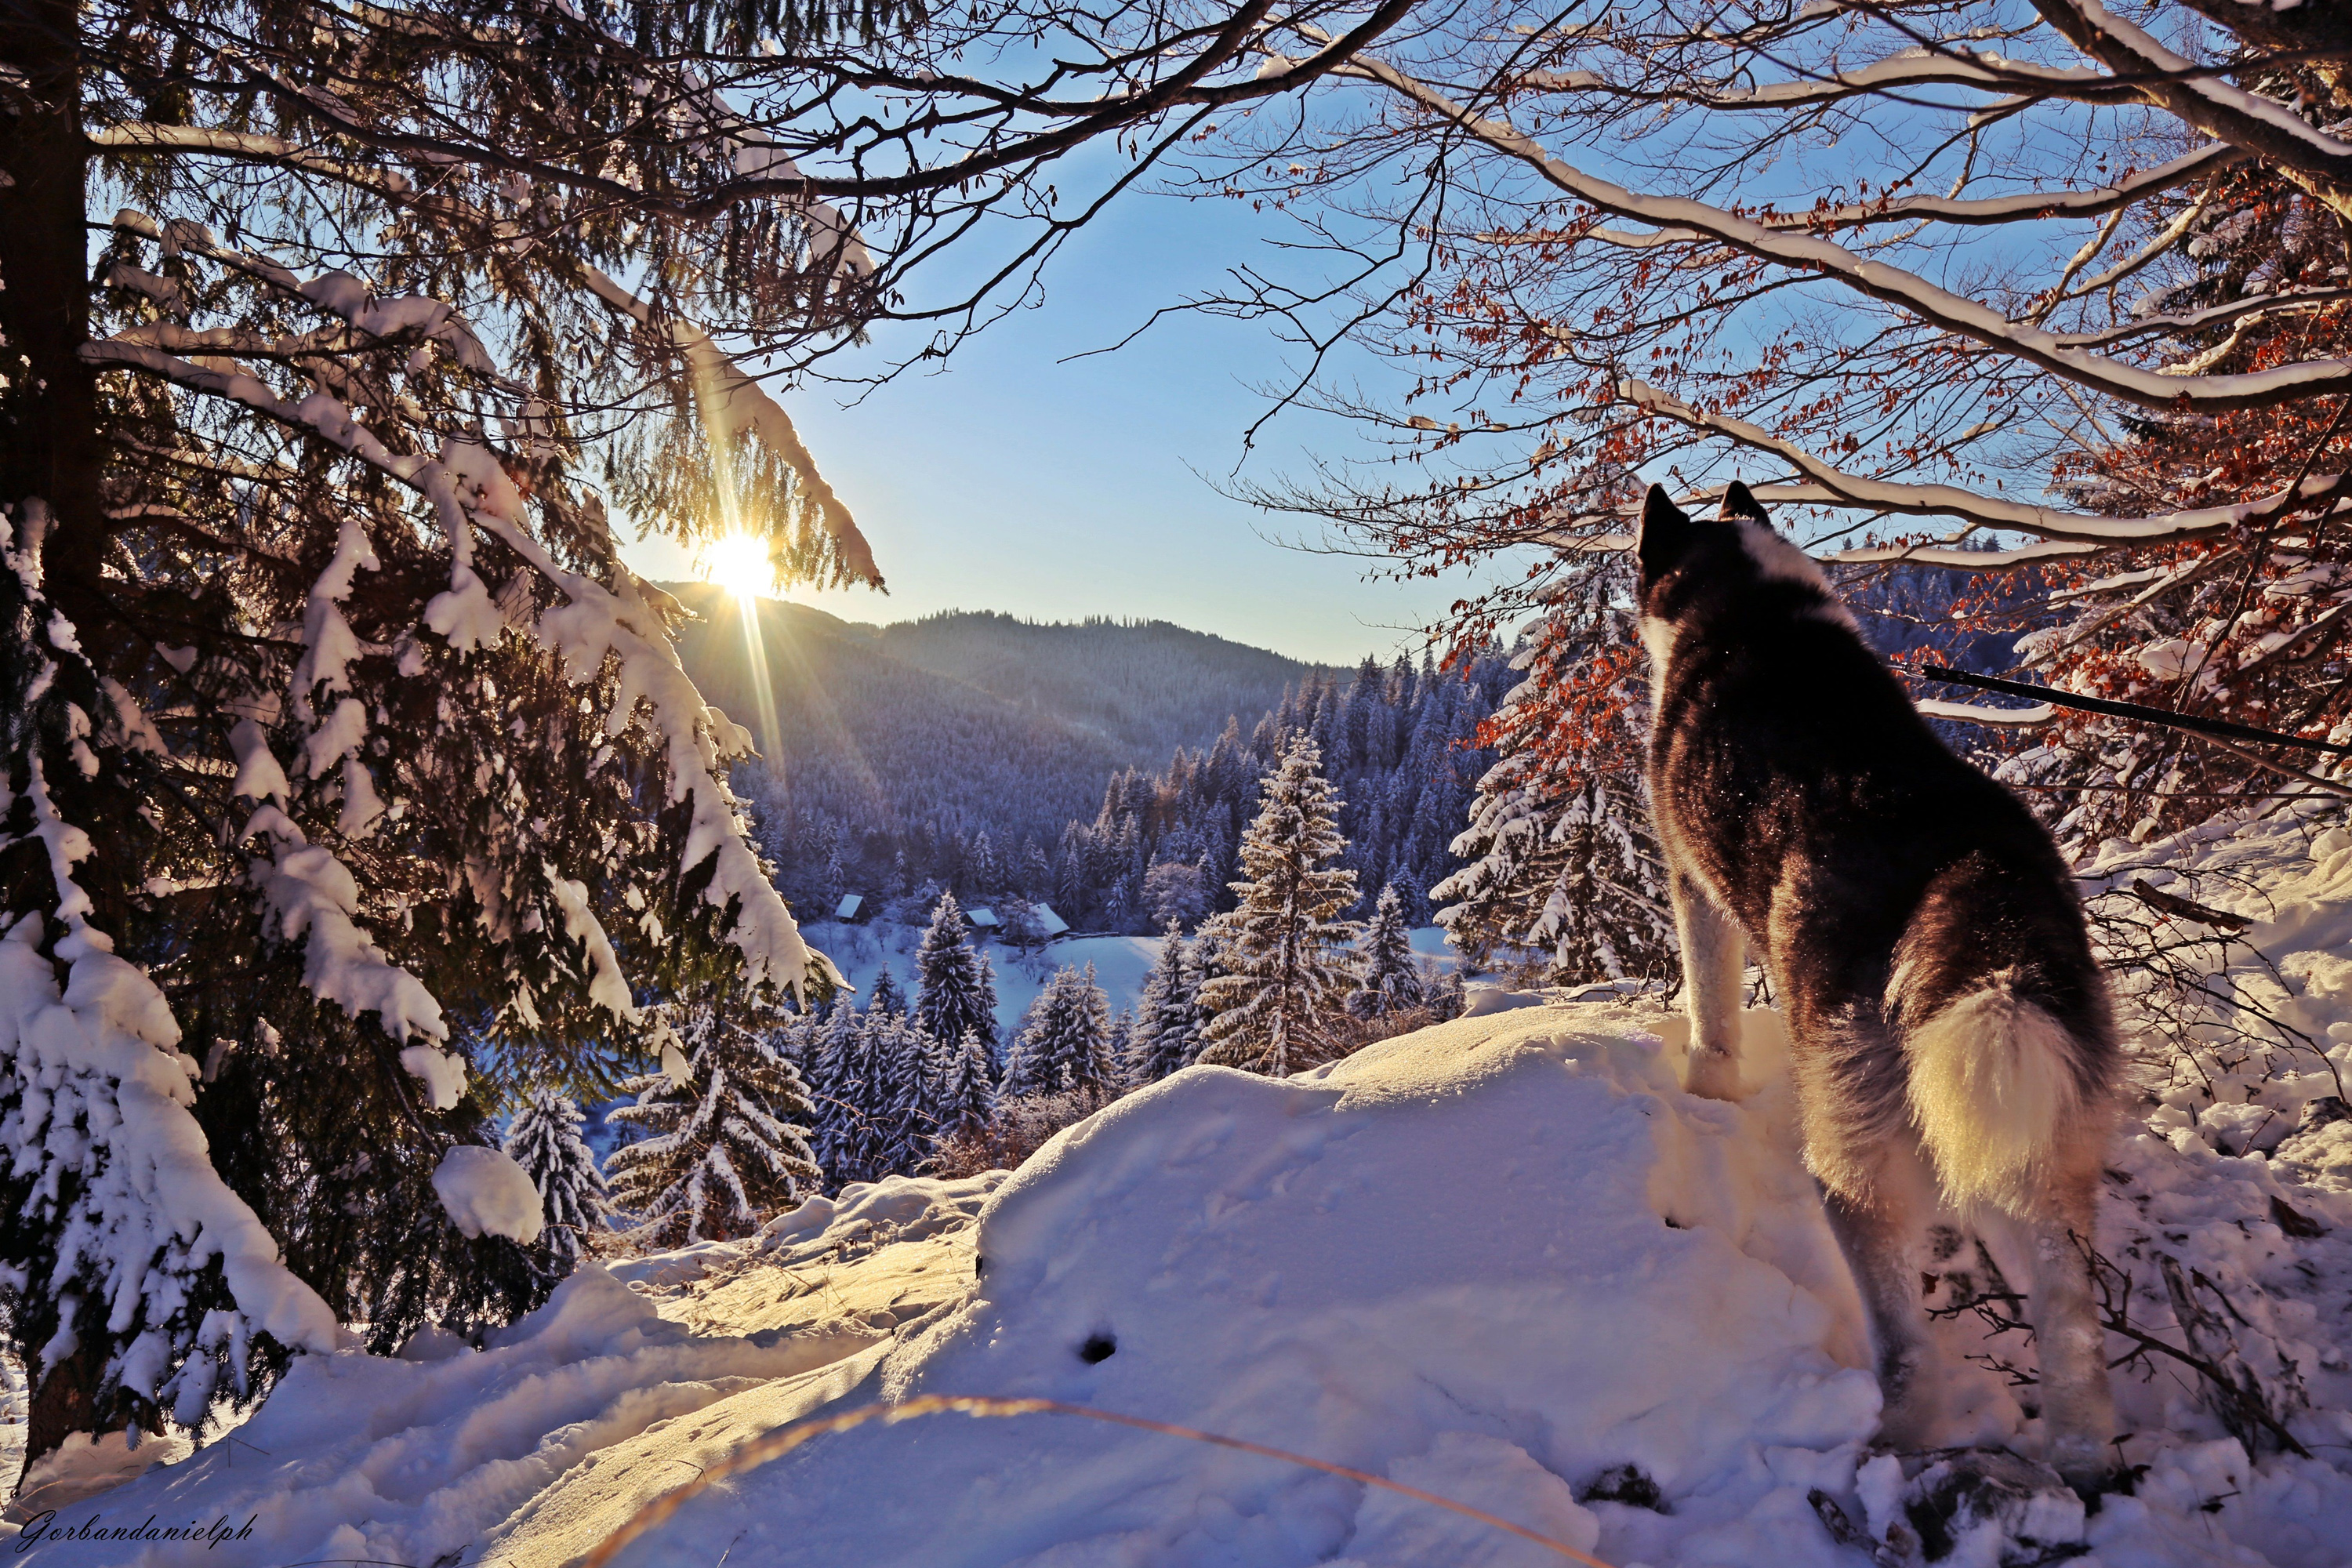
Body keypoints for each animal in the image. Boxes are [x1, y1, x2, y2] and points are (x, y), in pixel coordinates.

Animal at [1646, 484, 2126, 1495]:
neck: (1745, 606)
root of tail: (1973, 860)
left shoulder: (1692, 883)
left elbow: (1709, 1006)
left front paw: (1705, 1084)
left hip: (1855, 1148)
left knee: (1907, 1335)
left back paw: (1899, 1435)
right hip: (2031, 1119)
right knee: (2066, 1305)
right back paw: (2080, 1449)